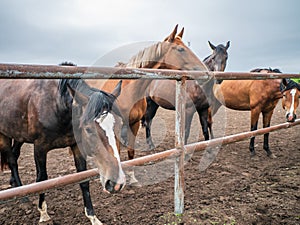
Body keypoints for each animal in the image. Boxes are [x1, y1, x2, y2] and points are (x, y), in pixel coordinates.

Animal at [0, 78, 124, 224]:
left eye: (121, 124)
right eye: (88, 129)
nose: (116, 183)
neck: (56, 105)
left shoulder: (76, 146)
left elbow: (83, 179)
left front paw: (93, 217)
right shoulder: (39, 148)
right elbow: (42, 179)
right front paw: (43, 214)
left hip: (19, 135)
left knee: (14, 155)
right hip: (4, 135)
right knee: (12, 161)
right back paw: (23, 196)